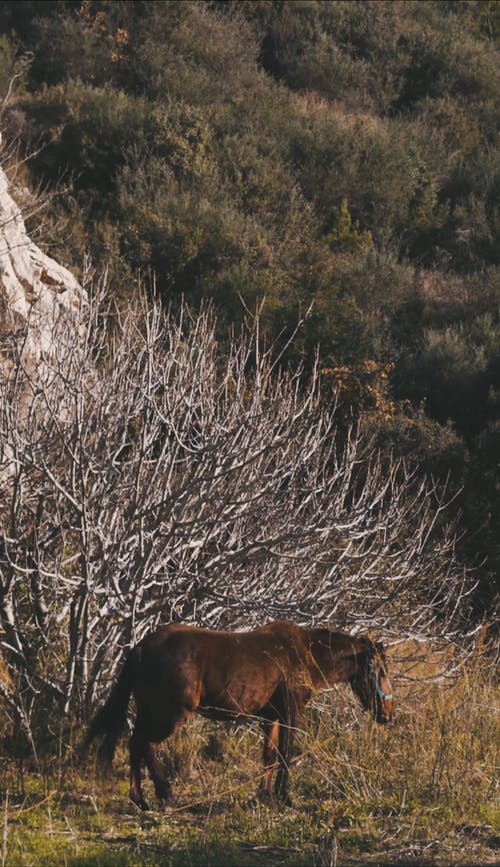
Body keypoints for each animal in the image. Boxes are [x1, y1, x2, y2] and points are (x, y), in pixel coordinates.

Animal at [84, 620, 392, 812]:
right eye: (380, 671)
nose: (387, 715)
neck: (304, 654)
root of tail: (140, 648)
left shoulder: (272, 718)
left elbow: (269, 756)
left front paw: (263, 797)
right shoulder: (291, 715)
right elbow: (285, 754)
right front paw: (285, 797)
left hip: (150, 712)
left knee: (135, 744)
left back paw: (140, 800)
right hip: (168, 715)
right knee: (146, 744)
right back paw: (166, 796)